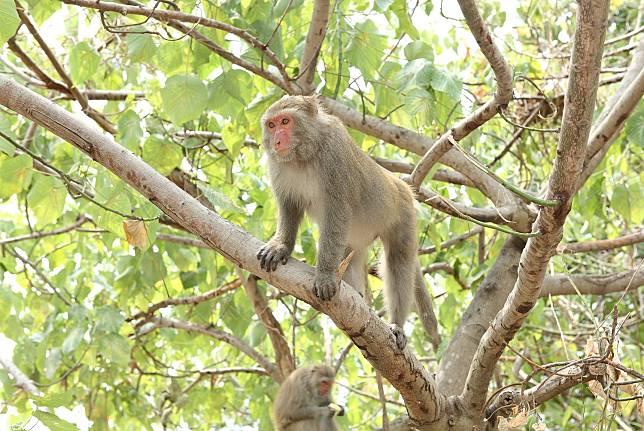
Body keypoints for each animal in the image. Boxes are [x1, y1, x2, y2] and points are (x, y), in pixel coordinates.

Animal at [256, 95, 438, 352]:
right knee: (349, 255)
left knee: (398, 261)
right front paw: (280, 246)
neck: (305, 155)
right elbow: (289, 207)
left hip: (403, 214)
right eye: (271, 125)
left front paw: (324, 275)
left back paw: (397, 324)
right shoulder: (279, 166)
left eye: (285, 121)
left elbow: (337, 212)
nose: (277, 140)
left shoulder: (335, 154)